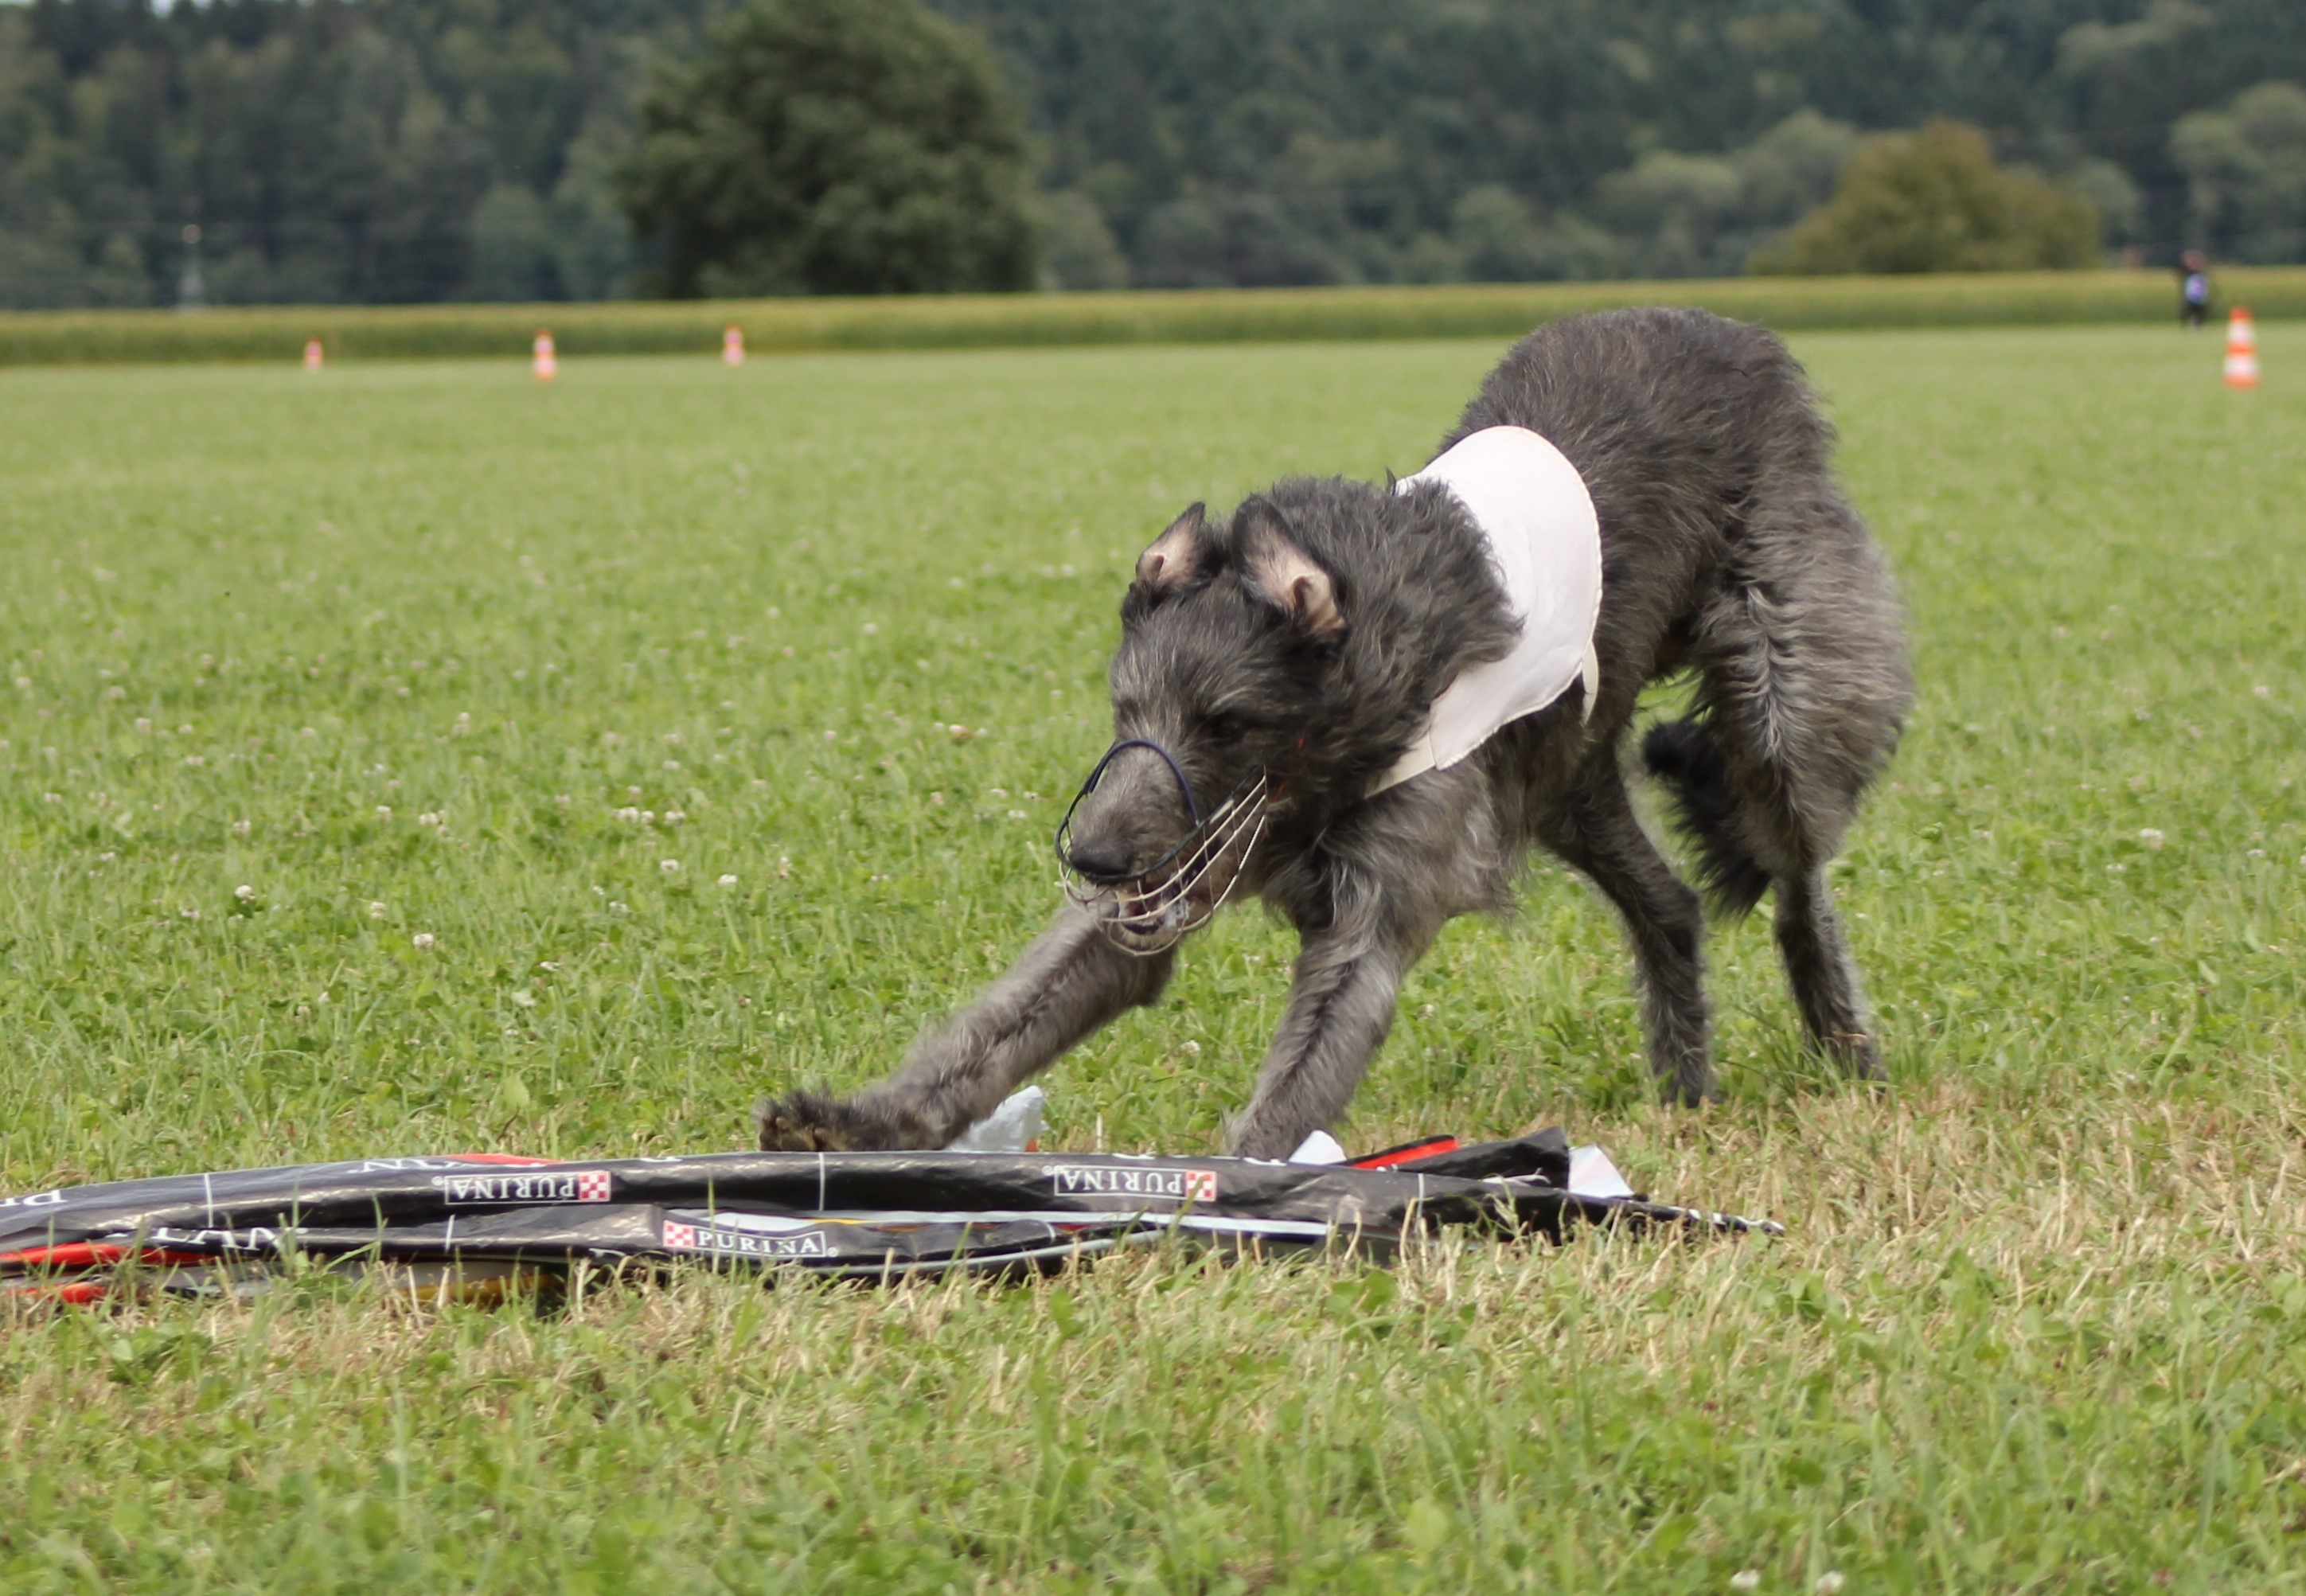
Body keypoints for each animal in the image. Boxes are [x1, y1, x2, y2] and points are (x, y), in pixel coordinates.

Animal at [757, 307, 1913, 1160]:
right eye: (1125, 708)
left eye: (1225, 719)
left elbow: (1316, 1040)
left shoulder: (1378, 890)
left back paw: (1838, 1029)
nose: (1090, 857)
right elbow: (1027, 1009)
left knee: (1796, 852)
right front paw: (862, 1121)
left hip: (1786, 671)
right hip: (1566, 773)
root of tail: (1737, 333)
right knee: (1669, 904)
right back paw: (1685, 1087)